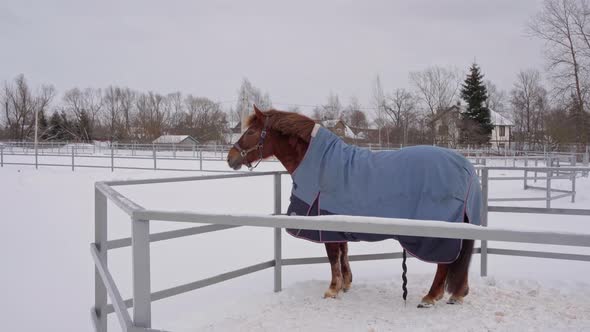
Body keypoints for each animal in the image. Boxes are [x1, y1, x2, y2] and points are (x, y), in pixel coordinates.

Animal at [227, 105, 476, 308]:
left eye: (250, 132)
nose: (230, 158)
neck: (322, 165)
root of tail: (465, 166)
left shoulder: (326, 225)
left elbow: (333, 256)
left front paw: (332, 289)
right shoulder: (339, 220)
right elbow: (344, 252)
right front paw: (345, 284)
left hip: (439, 233)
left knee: (443, 263)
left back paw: (430, 297)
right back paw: (455, 295)